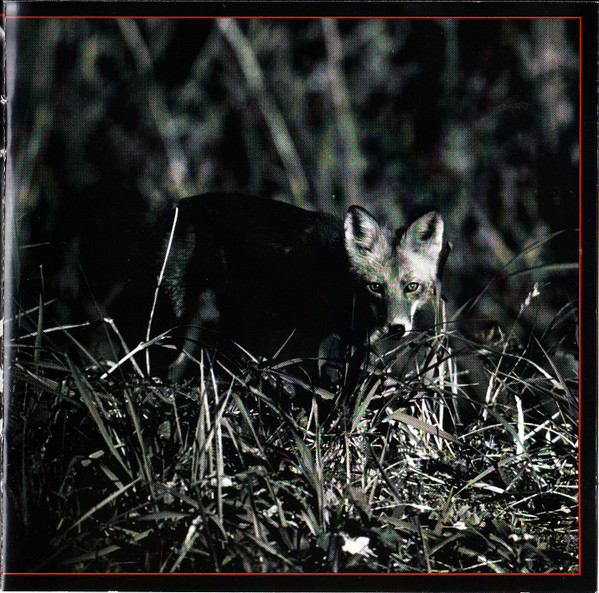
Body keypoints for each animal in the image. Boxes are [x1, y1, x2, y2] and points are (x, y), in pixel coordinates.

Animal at [159, 192, 447, 385]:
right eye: (376, 287)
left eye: (411, 287)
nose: (397, 329)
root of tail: (179, 203)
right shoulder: (312, 335)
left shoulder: (353, 342)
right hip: (182, 315)